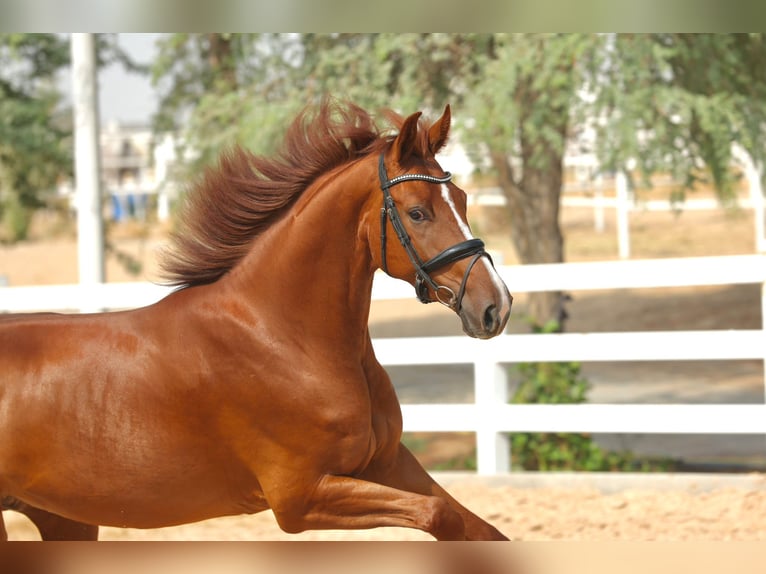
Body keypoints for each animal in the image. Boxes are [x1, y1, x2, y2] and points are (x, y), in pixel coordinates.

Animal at [0, 99, 512, 541]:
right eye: (417, 212)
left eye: (463, 199)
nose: (496, 306)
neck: (284, 338)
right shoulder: (300, 498)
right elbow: (440, 514)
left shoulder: (386, 464)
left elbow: (480, 529)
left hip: (65, 518)